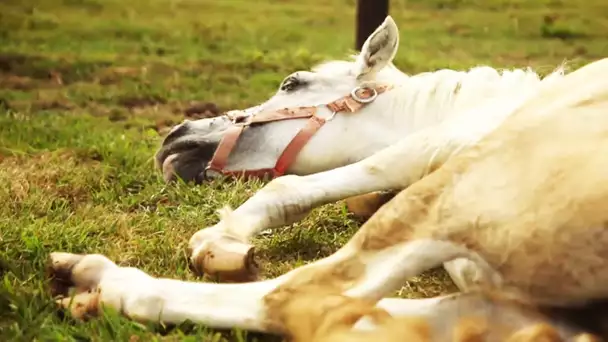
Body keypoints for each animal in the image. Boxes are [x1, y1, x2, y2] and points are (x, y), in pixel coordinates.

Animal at [50, 53, 608, 340]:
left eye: (292, 83)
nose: (177, 134)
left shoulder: (442, 144)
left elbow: (299, 185)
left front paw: (222, 241)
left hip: (450, 195)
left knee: (301, 298)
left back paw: (99, 278)